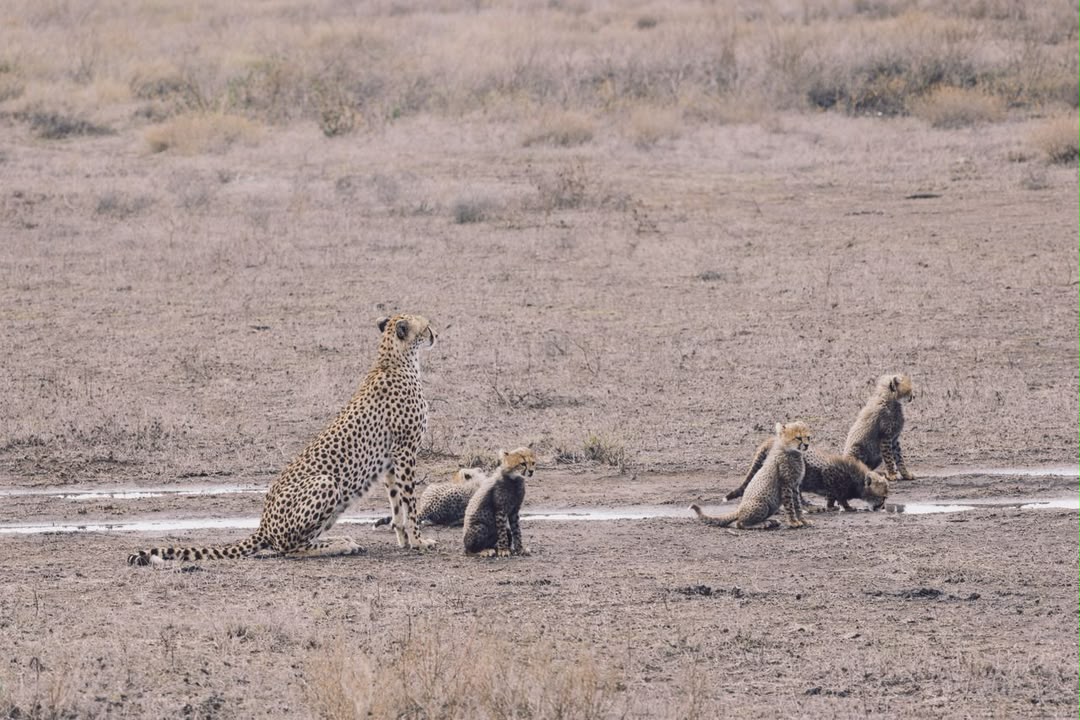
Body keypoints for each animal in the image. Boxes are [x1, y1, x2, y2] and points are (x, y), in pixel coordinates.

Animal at [127, 313, 437, 566]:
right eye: (426, 326)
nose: (436, 334)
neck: (394, 359)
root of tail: (263, 525)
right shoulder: (406, 451)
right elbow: (410, 502)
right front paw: (420, 541)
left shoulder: (391, 459)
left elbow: (397, 504)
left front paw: (404, 539)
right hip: (325, 483)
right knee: (289, 548)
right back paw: (341, 544)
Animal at [726, 438, 890, 512]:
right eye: (883, 497)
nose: (882, 507)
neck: (857, 480)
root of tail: (771, 440)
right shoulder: (829, 473)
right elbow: (837, 495)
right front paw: (845, 507)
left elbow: (834, 496)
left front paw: (833, 506)